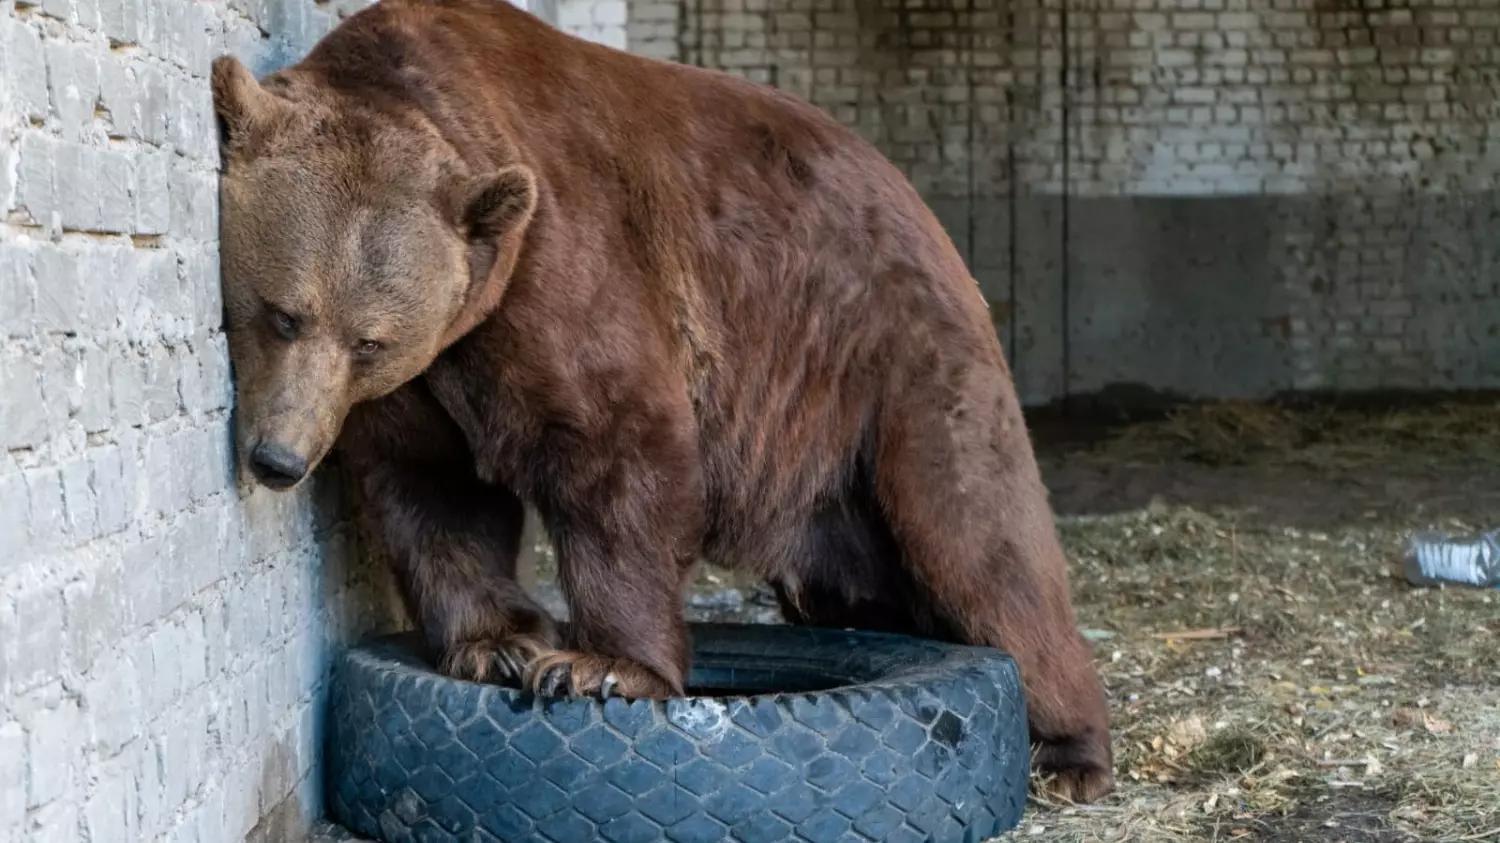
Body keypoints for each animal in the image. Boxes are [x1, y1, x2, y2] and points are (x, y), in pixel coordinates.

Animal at [217, 0, 1122, 798]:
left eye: (369, 338)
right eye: (284, 313)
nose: (279, 456)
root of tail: (924, 206)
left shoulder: (557, 268)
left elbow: (617, 450)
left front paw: (598, 666)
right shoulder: (427, 379)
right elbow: (434, 490)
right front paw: (500, 644)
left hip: (894, 356)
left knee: (975, 532)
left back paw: (1066, 750)